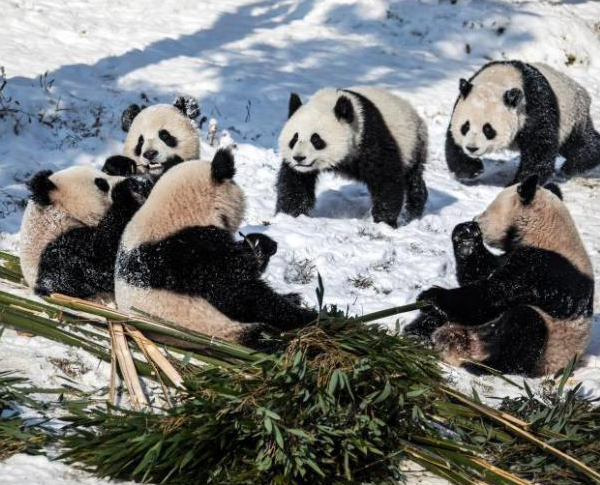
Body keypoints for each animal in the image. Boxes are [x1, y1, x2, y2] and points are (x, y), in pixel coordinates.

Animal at [114, 149, 316, 346]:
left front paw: (262, 244)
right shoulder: (194, 252)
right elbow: (239, 293)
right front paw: (308, 317)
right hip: (219, 328)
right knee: (265, 336)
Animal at [274, 86, 428, 227]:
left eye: (316, 140)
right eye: (294, 139)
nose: (299, 158)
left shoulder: (369, 136)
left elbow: (386, 177)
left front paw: (384, 222)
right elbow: (295, 182)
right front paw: (289, 215)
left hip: (413, 144)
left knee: (413, 179)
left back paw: (411, 212)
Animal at [406, 174, 592, 374]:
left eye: (487, 212)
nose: (475, 219)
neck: (545, 231)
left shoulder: (543, 267)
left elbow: (492, 294)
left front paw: (431, 296)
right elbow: (480, 275)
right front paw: (466, 238)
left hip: (551, 349)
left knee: (525, 327)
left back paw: (485, 366)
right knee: (438, 318)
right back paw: (415, 334)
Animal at [446, 59, 600, 183]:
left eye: (488, 129)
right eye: (465, 127)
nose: (472, 148)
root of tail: (581, 90)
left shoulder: (534, 105)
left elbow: (539, 146)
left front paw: (520, 182)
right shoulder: (460, 103)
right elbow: (452, 140)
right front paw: (471, 169)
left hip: (573, 116)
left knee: (579, 142)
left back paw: (572, 166)